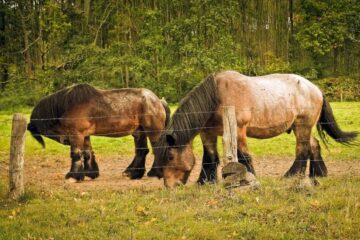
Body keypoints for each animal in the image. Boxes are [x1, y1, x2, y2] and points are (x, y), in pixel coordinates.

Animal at [26, 83, 170, 181]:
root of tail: (158, 101)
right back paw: (133, 173)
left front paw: (73, 176)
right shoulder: (85, 135)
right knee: (141, 151)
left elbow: (76, 154)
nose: (65, 140)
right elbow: (87, 153)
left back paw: (154, 173)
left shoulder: (76, 134)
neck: (68, 106)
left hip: (153, 131)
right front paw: (90, 173)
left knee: (157, 149)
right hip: (139, 131)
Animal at [149, 70, 358, 187]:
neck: (216, 96)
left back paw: (291, 175)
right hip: (304, 127)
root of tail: (315, 88)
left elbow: (244, 156)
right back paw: (318, 174)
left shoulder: (239, 131)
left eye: (169, 157)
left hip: (302, 126)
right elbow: (209, 158)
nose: (170, 186)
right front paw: (205, 182)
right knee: (313, 146)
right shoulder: (207, 133)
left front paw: (250, 178)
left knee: (303, 149)